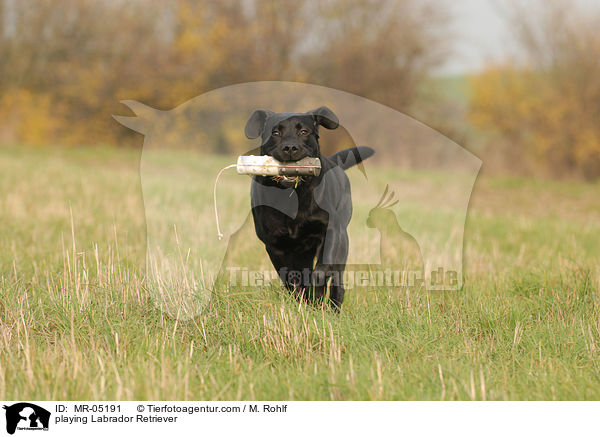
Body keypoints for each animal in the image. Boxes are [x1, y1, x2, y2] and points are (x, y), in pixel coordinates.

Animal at [246, 107, 372, 308]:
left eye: (304, 131)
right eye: (275, 133)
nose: (290, 148)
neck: (293, 196)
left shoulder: (330, 232)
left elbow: (321, 270)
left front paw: (316, 295)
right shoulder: (274, 244)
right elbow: (291, 279)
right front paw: (303, 299)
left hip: (342, 243)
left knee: (337, 282)